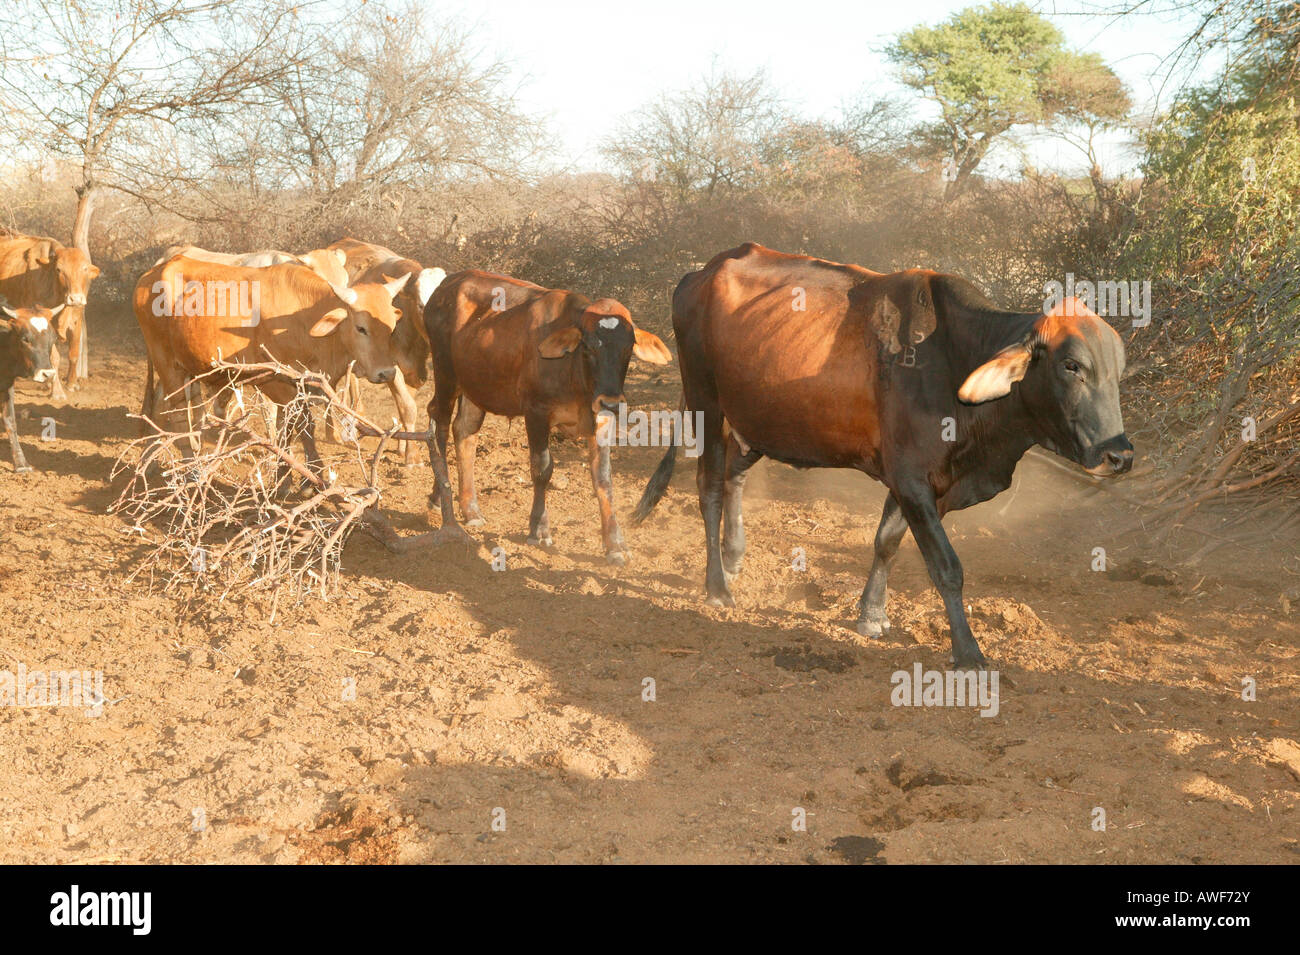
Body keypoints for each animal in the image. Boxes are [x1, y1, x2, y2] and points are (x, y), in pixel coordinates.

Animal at [0, 235, 100, 400]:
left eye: (84, 268)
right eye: (59, 269)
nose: (75, 298)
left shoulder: (76, 320)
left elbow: (73, 354)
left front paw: (71, 383)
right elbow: (54, 358)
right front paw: (57, 391)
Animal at [134, 254, 408, 462]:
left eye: (392, 326)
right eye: (361, 328)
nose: (386, 372)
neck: (301, 321)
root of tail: (152, 274)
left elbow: (287, 428)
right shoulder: (275, 383)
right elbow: (300, 424)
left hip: (185, 365)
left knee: (175, 408)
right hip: (167, 364)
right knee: (178, 414)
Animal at [330, 237, 447, 465]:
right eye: (421, 305)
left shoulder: (415, 371)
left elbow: (404, 406)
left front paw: (403, 446)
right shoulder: (390, 368)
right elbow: (408, 408)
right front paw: (412, 456)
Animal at [631, 242, 1128, 670]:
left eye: (1117, 369)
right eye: (1072, 366)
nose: (1119, 455)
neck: (952, 361)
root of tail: (702, 272)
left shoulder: (915, 481)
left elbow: (887, 541)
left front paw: (871, 613)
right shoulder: (912, 479)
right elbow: (946, 567)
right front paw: (967, 651)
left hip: (756, 420)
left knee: (735, 473)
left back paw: (733, 556)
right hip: (705, 403)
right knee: (709, 487)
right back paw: (716, 586)